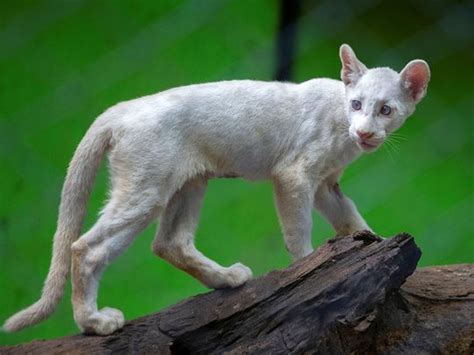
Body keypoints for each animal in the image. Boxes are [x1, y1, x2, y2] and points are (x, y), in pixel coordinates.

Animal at [3, 45, 432, 336]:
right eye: (357, 104)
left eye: (386, 110)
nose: (365, 132)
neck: (342, 131)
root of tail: (119, 109)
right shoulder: (294, 175)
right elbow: (298, 232)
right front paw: (309, 269)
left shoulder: (327, 184)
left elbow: (351, 218)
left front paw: (374, 244)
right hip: (146, 190)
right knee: (86, 248)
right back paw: (94, 322)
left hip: (189, 183)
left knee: (169, 243)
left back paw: (227, 279)